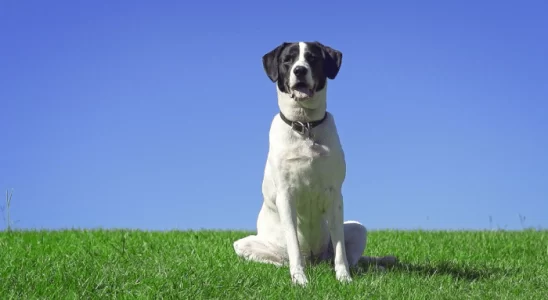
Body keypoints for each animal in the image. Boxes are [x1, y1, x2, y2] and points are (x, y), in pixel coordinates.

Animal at [233, 41, 396, 284]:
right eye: (288, 60)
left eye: (312, 58)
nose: (300, 70)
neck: (305, 125)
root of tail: (315, 260)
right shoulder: (286, 196)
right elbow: (293, 243)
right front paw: (300, 279)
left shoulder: (335, 194)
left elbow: (340, 249)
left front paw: (344, 278)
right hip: (243, 244)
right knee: (278, 258)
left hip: (358, 228)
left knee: (351, 257)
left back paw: (375, 265)